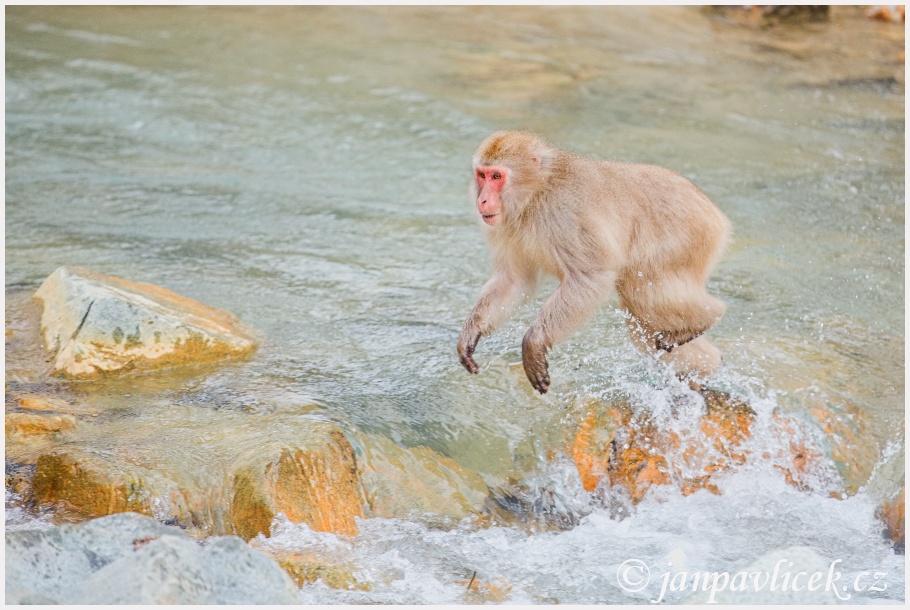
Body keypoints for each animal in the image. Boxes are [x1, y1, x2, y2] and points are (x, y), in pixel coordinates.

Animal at [460, 130, 732, 392]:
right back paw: (705, 367)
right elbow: (514, 280)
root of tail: (714, 213)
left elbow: (589, 277)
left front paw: (534, 342)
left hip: (685, 235)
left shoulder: (564, 213)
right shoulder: (503, 225)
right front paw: (472, 330)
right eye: (482, 176)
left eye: (497, 176)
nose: (482, 200)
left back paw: (709, 317)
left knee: (641, 290)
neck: (535, 194)